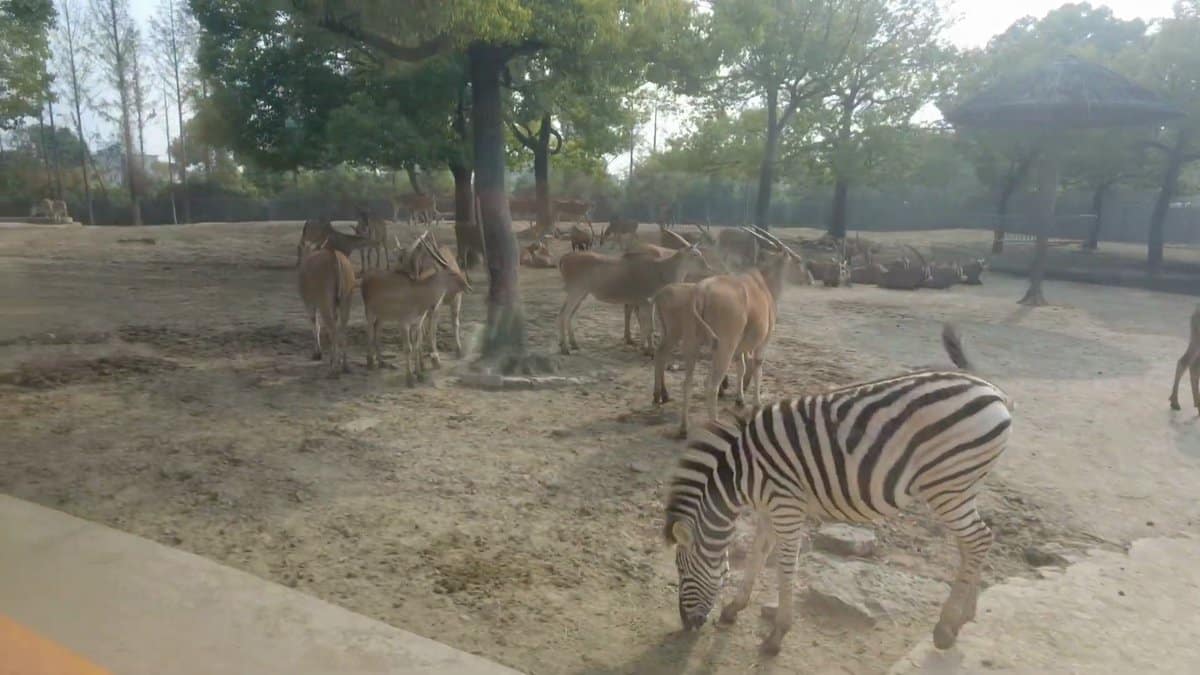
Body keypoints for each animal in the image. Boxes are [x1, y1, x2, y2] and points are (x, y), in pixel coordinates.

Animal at [298, 241, 358, 376]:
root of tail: (334, 256)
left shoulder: (310, 304)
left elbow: (315, 326)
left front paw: (317, 354)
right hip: (346, 301)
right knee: (342, 330)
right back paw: (344, 365)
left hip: (324, 304)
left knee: (333, 330)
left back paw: (334, 368)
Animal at [361, 232, 471, 385]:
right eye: (452, 273)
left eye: (456, 269)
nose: (468, 287)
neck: (419, 295)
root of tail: (365, 278)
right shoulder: (404, 323)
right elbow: (408, 348)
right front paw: (409, 379)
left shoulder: (417, 323)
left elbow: (417, 345)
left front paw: (420, 374)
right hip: (370, 312)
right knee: (369, 331)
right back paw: (370, 362)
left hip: (383, 315)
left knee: (377, 330)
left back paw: (382, 362)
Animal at [557, 230, 707, 356]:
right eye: (695, 255)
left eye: (700, 254)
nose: (707, 266)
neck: (660, 270)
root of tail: (565, 258)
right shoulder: (645, 302)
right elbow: (649, 326)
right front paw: (649, 350)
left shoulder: (650, 303)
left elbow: (648, 326)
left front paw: (646, 347)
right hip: (576, 292)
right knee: (564, 313)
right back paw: (565, 348)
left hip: (582, 294)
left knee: (570, 314)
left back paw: (574, 344)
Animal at [663, 324, 1013, 655]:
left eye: (682, 570)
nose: (687, 624)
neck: (741, 472)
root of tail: (993, 390)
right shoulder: (769, 508)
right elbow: (756, 554)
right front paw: (734, 608)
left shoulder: (787, 507)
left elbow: (785, 567)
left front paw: (777, 634)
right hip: (963, 486)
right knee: (975, 542)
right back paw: (964, 618)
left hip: (948, 486)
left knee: (977, 539)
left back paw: (945, 627)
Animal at [668, 227, 799, 438]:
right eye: (797, 260)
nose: (803, 265)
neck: (764, 284)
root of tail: (701, 292)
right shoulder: (763, 342)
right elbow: (757, 366)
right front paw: (756, 404)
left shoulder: (740, 348)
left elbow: (741, 367)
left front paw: (740, 399)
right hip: (724, 347)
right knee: (711, 385)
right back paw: (715, 425)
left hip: (692, 345)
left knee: (687, 383)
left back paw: (683, 428)